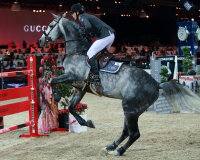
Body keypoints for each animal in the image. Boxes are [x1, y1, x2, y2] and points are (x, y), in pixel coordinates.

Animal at [39, 13, 200, 156]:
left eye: (51, 25)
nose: (40, 42)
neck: (77, 51)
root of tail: (156, 84)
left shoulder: (74, 77)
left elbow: (53, 81)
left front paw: (57, 97)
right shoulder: (80, 88)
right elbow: (72, 108)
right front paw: (87, 122)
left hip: (130, 109)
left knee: (134, 134)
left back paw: (118, 151)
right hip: (132, 110)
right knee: (126, 131)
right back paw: (109, 147)